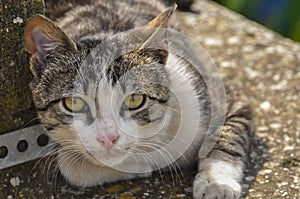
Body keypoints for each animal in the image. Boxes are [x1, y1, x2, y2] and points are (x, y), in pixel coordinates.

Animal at [24, 0, 253, 198]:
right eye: (74, 103)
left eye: (135, 100)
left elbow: (225, 137)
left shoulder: (218, 93)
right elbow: (69, 166)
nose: (109, 137)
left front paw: (217, 184)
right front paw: (142, 167)